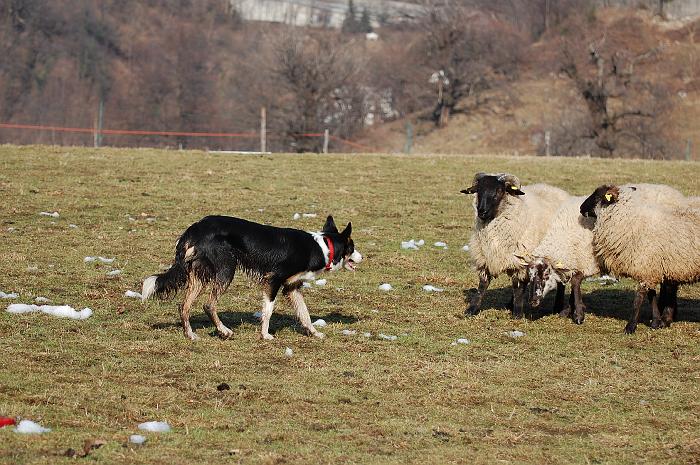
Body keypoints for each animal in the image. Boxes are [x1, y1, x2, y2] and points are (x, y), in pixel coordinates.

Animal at [462, 172, 572, 318]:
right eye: (478, 190)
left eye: (499, 191)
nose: (481, 211)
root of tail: (558, 190)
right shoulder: (485, 258)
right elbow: (482, 285)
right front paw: (472, 309)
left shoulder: (522, 261)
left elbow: (518, 288)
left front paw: (518, 313)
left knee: (560, 281)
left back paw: (558, 307)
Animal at [524, 183, 688, 324]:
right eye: (530, 277)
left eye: (545, 275)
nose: (532, 301)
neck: (564, 236)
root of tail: (676, 194)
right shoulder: (576, 262)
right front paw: (569, 310)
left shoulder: (589, 261)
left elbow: (576, 282)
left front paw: (578, 314)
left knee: (670, 284)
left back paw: (667, 315)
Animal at [580, 184, 700, 334]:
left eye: (597, 196)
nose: (580, 208)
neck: (632, 222)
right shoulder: (650, 269)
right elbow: (651, 295)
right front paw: (656, 321)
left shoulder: (646, 264)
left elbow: (638, 298)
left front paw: (631, 326)